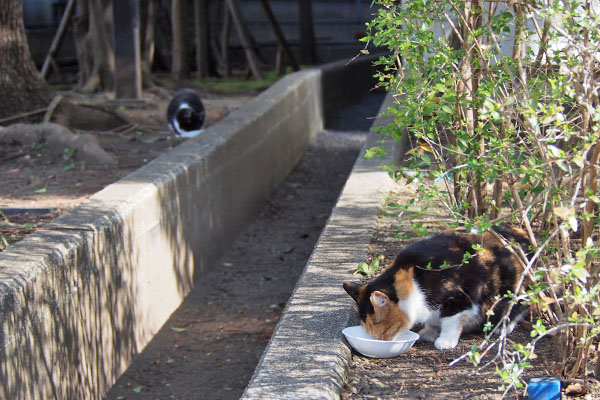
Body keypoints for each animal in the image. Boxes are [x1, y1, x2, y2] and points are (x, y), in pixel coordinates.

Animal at [344, 225, 532, 350]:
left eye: (378, 322)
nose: (378, 339)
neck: (415, 280)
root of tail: (524, 235)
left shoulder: (462, 298)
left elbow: (450, 321)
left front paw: (445, 341)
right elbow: (433, 320)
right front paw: (428, 332)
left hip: (516, 290)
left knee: (518, 308)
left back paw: (503, 326)